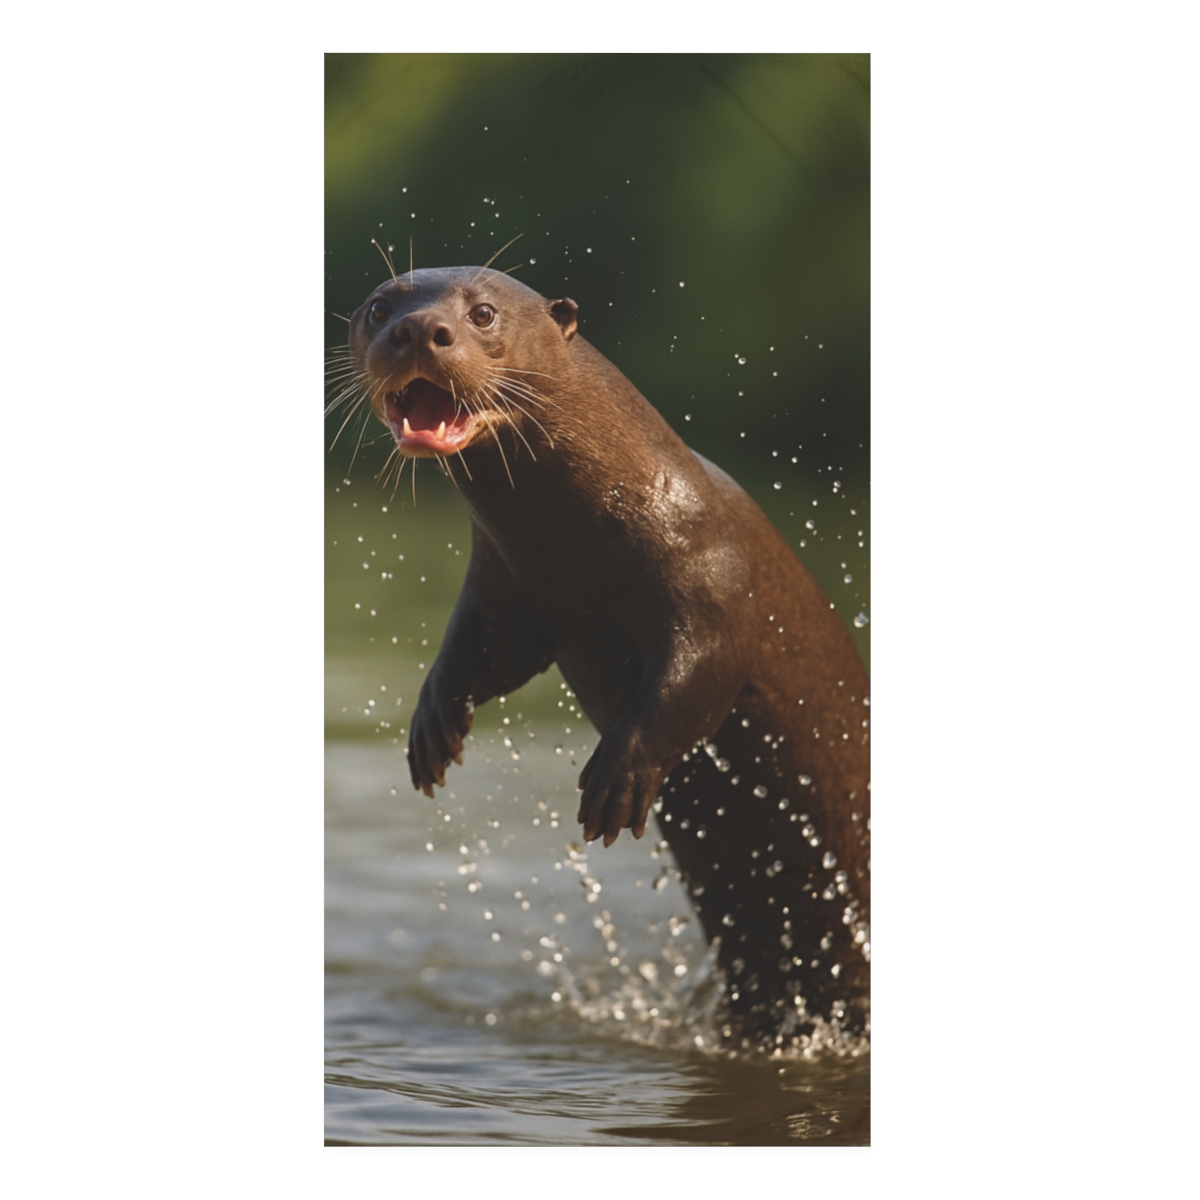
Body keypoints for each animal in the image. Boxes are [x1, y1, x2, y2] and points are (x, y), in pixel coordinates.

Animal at [346, 266, 870, 1039]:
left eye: (482, 313)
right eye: (380, 308)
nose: (416, 330)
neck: (583, 539)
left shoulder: (713, 580)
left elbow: (703, 669)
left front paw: (619, 772)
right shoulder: (509, 588)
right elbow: (476, 650)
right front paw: (432, 724)